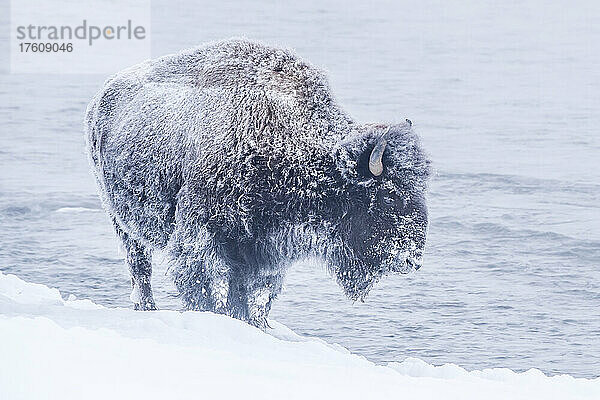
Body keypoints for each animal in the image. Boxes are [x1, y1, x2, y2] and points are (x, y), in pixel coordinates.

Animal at [85, 39, 432, 328]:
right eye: (388, 196)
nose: (412, 260)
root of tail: (101, 97)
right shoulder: (204, 235)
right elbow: (209, 288)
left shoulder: (265, 252)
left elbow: (256, 297)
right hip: (122, 223)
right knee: (139, 268)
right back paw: (147, 308)